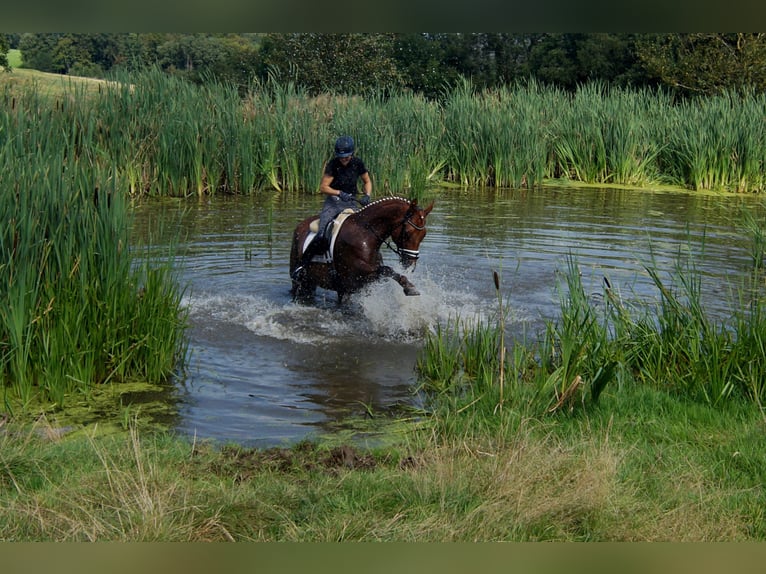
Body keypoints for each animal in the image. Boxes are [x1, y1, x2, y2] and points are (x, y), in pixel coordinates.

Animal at [290, 197, 436, 306]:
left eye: (424, 235)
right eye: (406, 234)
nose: (411, 264)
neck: (365, 233)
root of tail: (300, 225)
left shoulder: (358, 283)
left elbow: (385, 272)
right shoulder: (355, 275)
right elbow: (386, 270)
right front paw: (409, 287)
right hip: (300, 282)